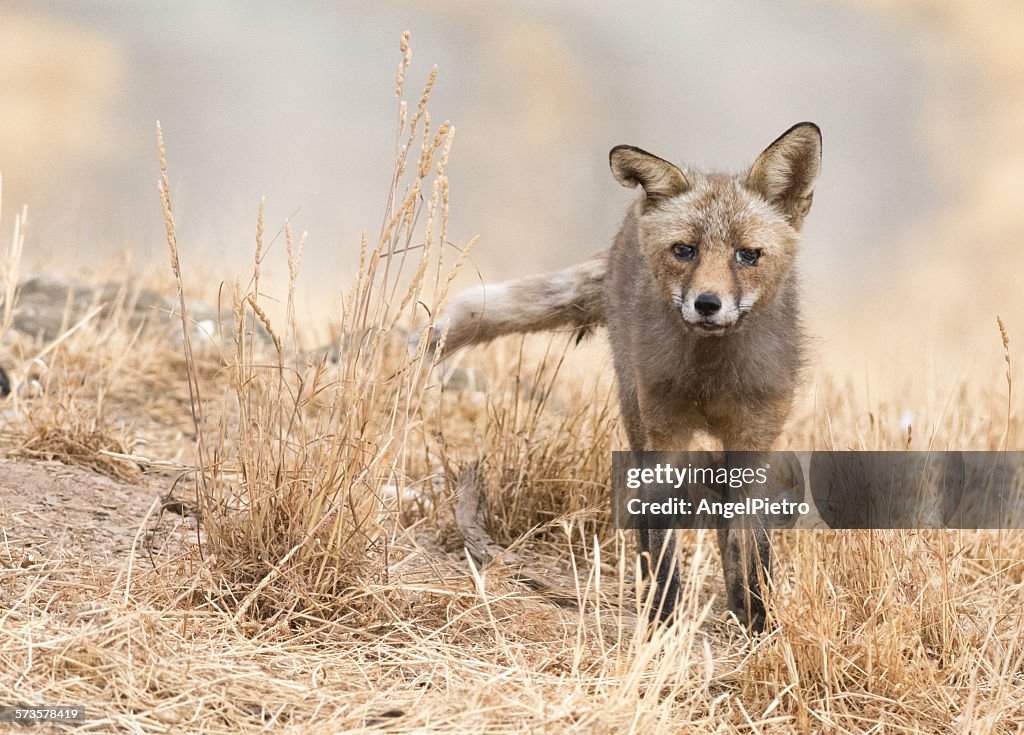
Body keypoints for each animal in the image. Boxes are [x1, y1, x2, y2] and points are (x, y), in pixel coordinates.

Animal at [411, 123, 819, 630]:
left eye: (748, 255)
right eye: (684, 251)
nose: (707, 303)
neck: (712, 376)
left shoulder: (755, 439)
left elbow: (755, 550)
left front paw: (760, 623)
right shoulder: (664, 433)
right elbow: (662, 547)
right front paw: (662, 625)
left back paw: (737, 606)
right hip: (634, 412)